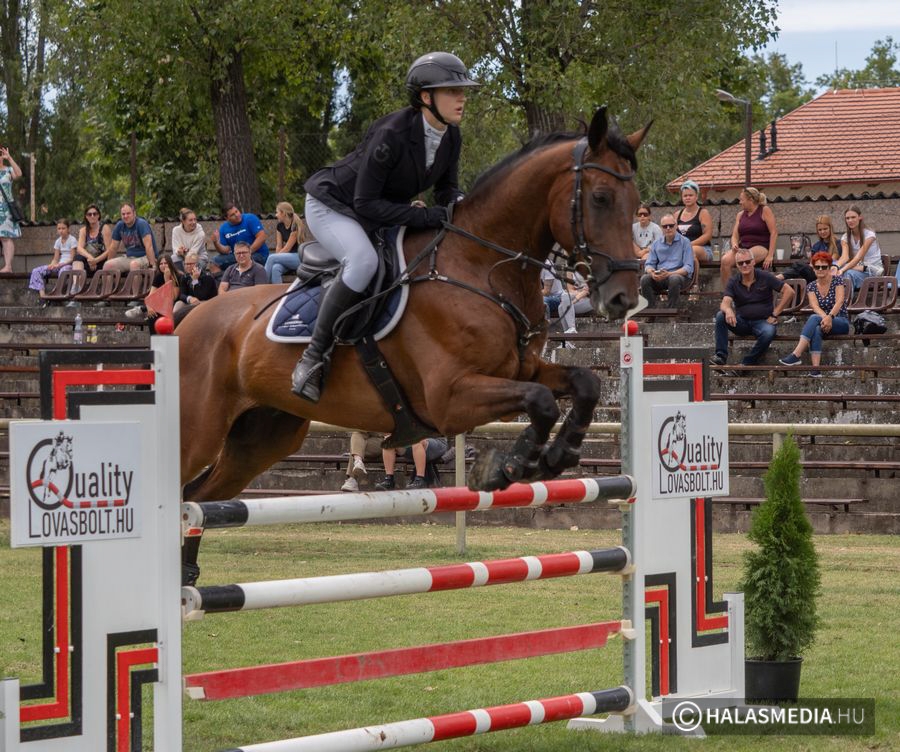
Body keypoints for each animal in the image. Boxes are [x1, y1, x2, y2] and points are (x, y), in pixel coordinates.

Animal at [177, 107, 649, 576]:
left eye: (635, 205)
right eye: (601, 198)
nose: (623, 297)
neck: (482, 268)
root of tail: (185, 320)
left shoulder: (524, 368)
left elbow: (584, 383)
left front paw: (558, 454)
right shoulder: (450, 398)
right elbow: (541, 400)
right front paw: (506, 467)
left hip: (264, 437)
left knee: (198, 499)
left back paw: (187, 575)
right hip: (201, 434)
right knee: (185, 490)